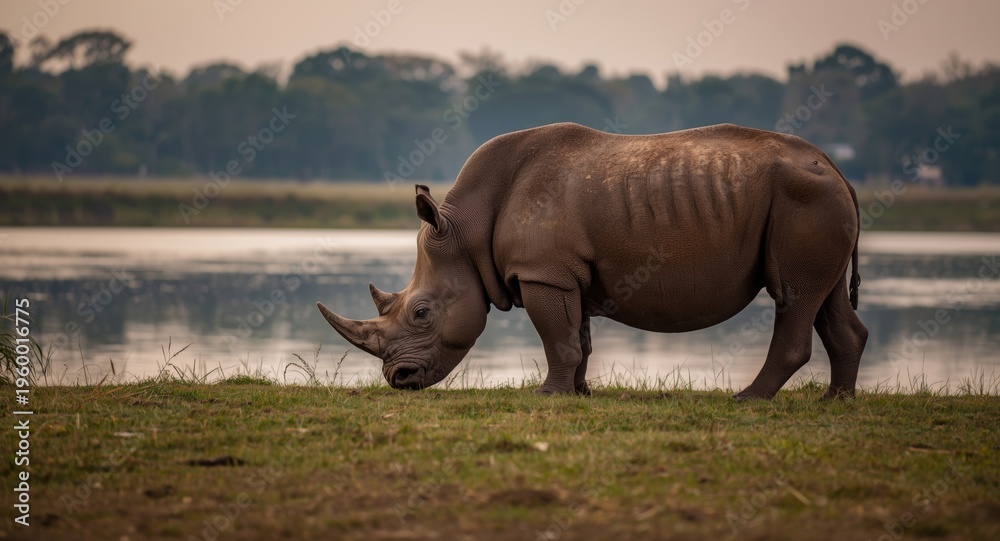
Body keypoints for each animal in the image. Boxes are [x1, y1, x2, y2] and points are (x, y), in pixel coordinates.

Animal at [318, 122, 868, 399]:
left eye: (421, 313)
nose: (398, 381)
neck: (464, 229)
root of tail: (835, 166)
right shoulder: (563, 271)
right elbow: (575, 337)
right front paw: (579, 393)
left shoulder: (544, 272)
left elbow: (555, 338)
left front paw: (548, 396)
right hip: (818, 201)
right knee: (822, 297)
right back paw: (835, 401)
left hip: (805, 200)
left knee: (792, 294)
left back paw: (748, 400)